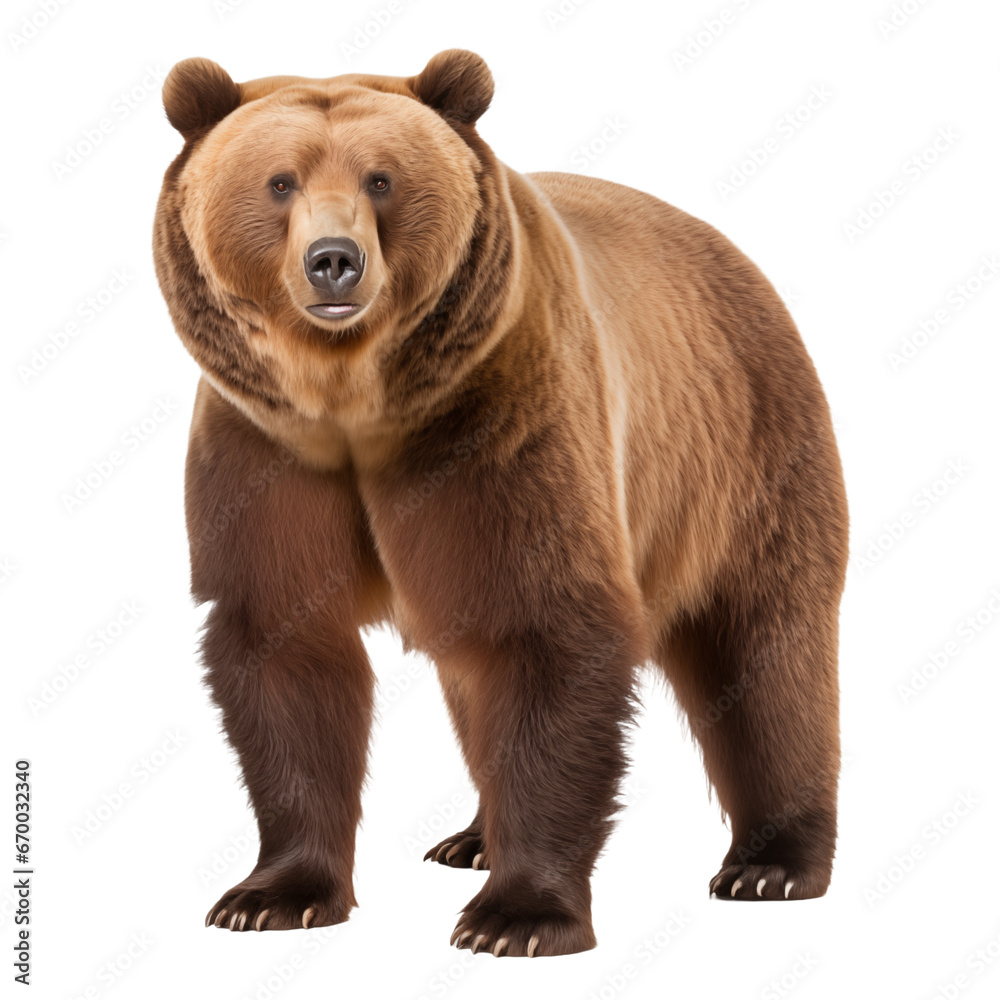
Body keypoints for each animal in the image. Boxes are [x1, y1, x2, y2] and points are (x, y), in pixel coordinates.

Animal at [153, 49, 848, 957]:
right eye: (279, 182)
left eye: (381, 178)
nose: (334, 260)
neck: (353, 403)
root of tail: (738, 256)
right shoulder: (266, 448)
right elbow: (283, 641)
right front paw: (272, 895)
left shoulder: (499, 416)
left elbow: (547, 626)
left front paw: (519, 915)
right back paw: (472, 837)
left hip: (744, 449)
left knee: (767, 647)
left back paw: (773, 863)